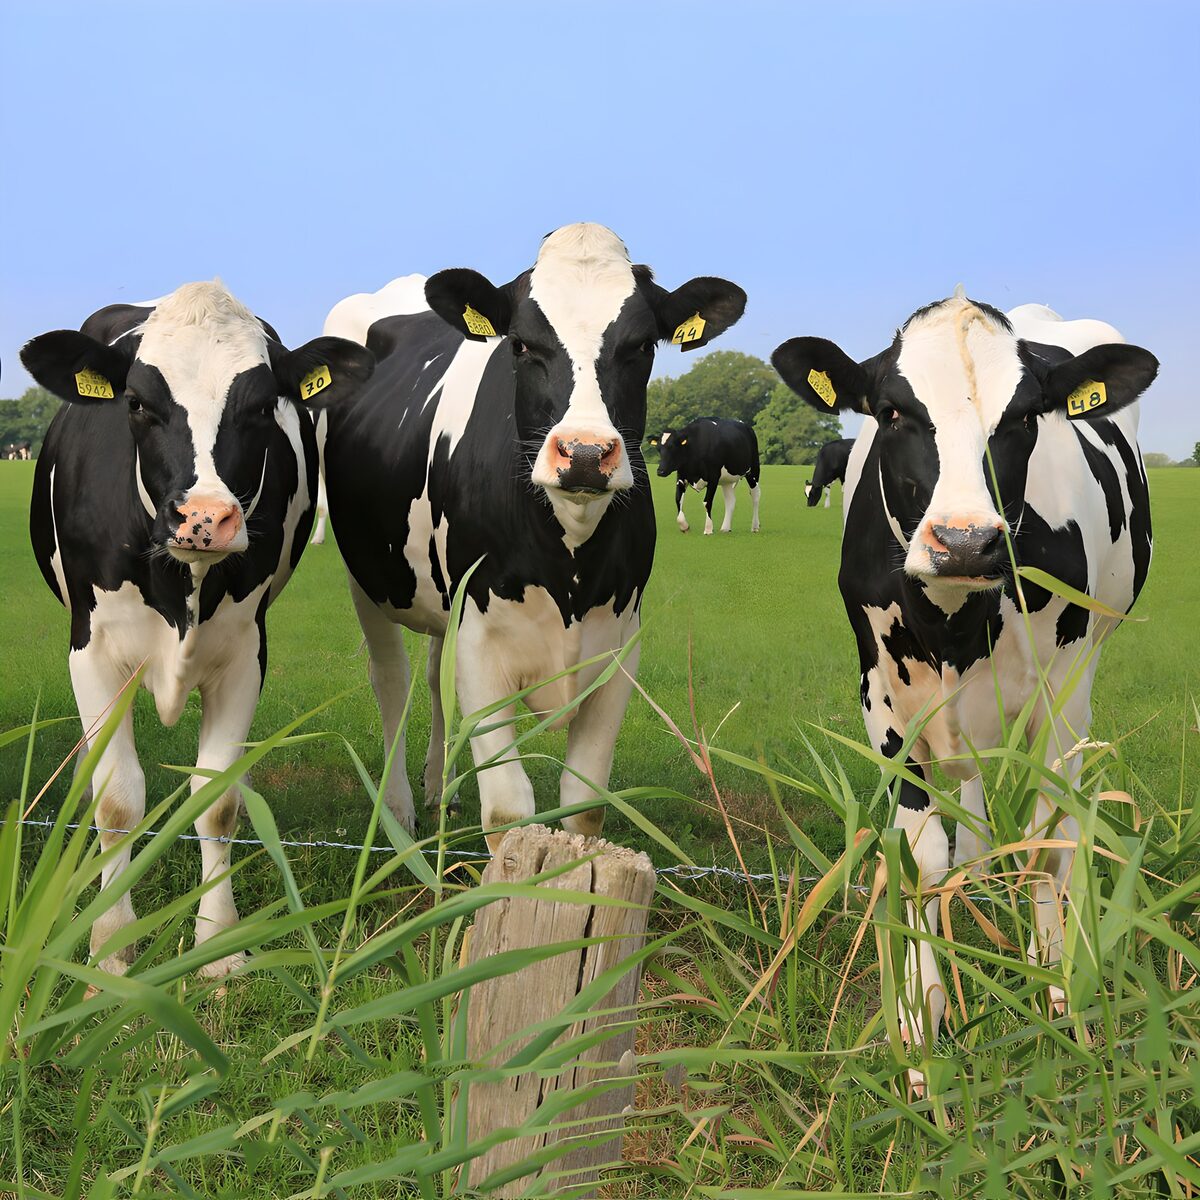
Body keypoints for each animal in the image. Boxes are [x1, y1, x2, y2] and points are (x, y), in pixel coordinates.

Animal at [21, 282, 374, 976]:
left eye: (263, 406)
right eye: (136, 403)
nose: (205, 517)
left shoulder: (245, 654)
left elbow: (217, 798)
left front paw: (217, 946)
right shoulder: (93, 651)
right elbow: (116, 799)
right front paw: (110, 951)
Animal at [321, 223, 746, 849]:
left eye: (644, 346)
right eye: (520, 344)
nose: (586, 453)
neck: (569, 558)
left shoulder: (619, 647)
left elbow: (585, 806)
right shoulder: (480, 642)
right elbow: (507, 812)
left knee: (433, 675)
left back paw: (437, 786)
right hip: (367, 573)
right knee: (391, 680)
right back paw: (398, 810)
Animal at [772, 293, 1157, 1091]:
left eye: (1025, 416)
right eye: (892, 411)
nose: (965, 541)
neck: (953, 620)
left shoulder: (1064, 697)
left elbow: (1048, 842)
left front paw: (1054, 984)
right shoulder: (883, 702)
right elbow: (921, 862)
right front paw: (922, 1022)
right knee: (973, 794)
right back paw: (975, 877)